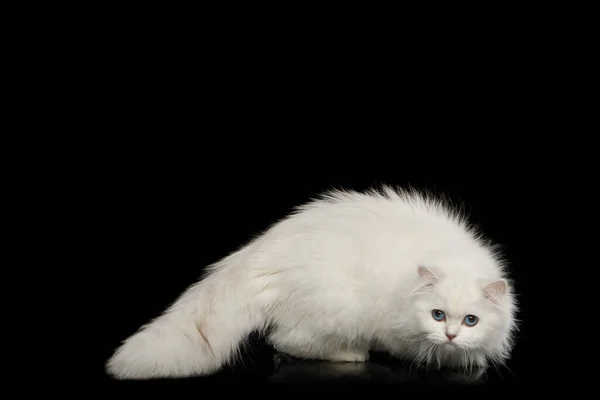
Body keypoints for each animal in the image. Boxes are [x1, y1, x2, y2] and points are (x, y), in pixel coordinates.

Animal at [108, 186, 520, 380]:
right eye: (437, 315)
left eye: (471, 321)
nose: (451, 334)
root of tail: (262, 252)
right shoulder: (400, 330)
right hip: (334, 313)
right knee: (284, 342)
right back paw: (352, 354)